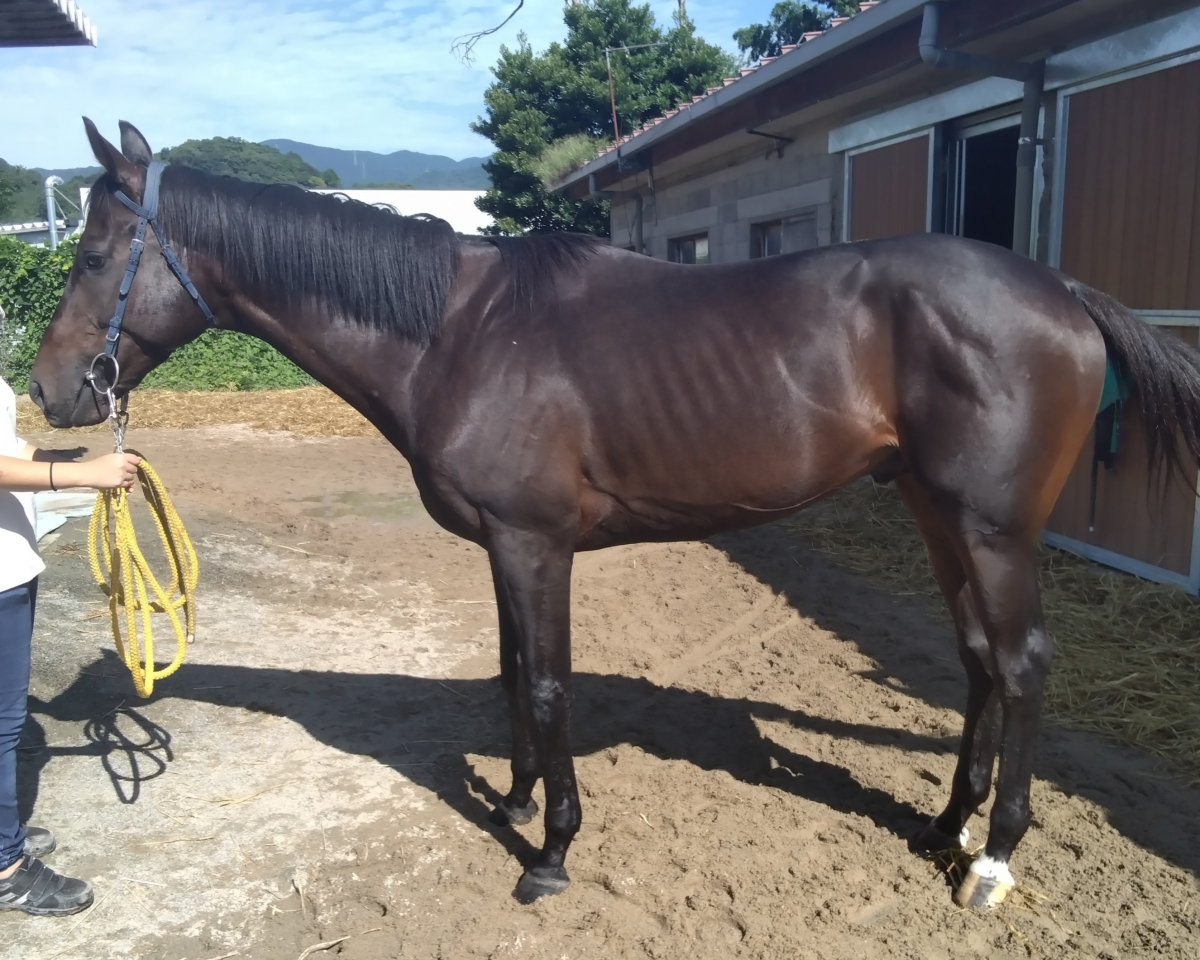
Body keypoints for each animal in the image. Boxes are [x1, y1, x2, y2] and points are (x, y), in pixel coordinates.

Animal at [29, 119, 1200, 908]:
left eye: (92, 255)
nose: (49, 394)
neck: (457, 330)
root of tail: (1063, 292)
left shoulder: (536, 544)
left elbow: (549, 684)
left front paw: (550, 852)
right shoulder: (502, 548)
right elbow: (511, 675)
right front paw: (508, 803)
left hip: (994, 530)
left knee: (1023, 664)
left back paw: (992, 860)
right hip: (933, 511)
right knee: (977, 661)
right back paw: (944, 826)